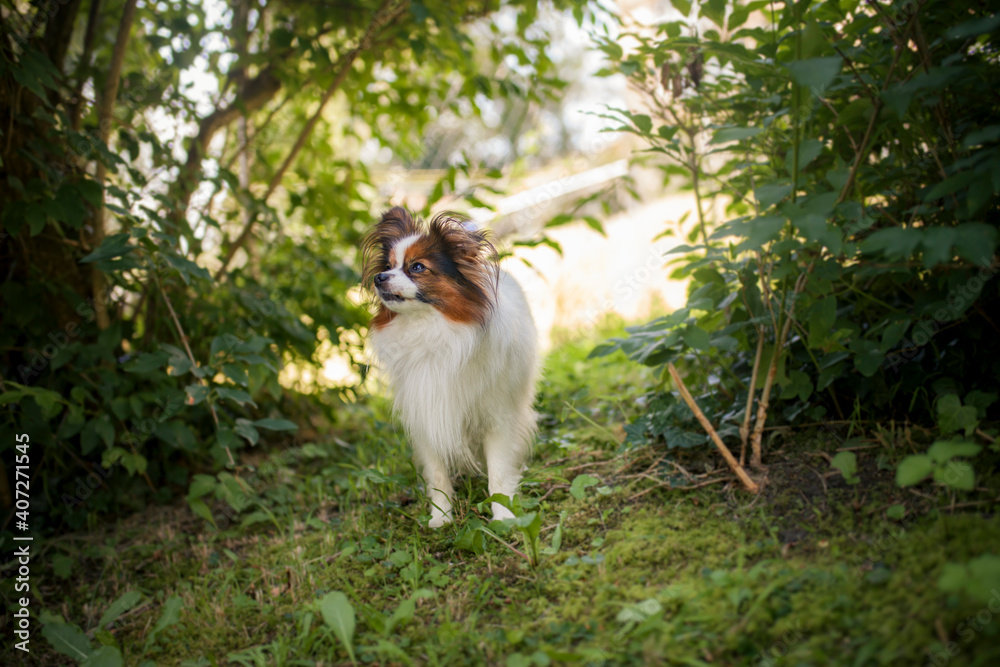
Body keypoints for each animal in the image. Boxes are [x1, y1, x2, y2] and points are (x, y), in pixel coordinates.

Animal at [364, 206, 540, 528]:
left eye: (417, 267)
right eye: (389, 265)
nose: (379, 277)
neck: (432, 329)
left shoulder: (498, 416)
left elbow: (498, 471)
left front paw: (503, 515)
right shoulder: (427, 412)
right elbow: (437, 476)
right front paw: (441, 517)